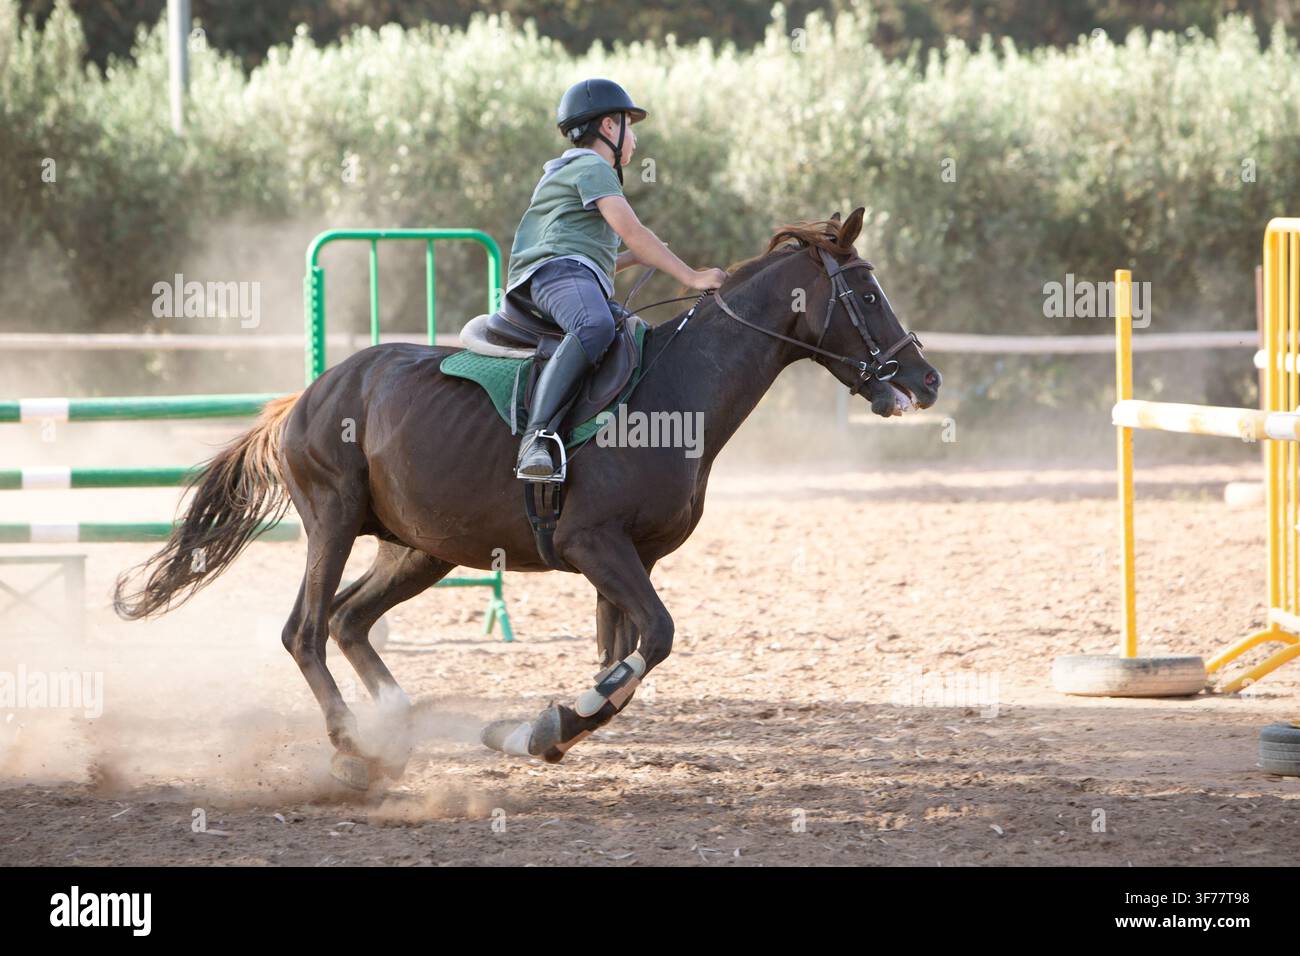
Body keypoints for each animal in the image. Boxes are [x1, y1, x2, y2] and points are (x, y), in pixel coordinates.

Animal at [114, 207, 941, 789]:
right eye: (868, 291)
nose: (927, 379)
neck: (679, 390)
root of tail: (307, 397)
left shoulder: (627, 560)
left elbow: (622, 660)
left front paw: (542, 728)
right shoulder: (595, 545)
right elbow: (657, 638)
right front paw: (547, 726)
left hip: (420, 550)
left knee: (350, 621)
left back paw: (394, 732)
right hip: (334, 521)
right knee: (307, 630)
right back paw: (352, 748)